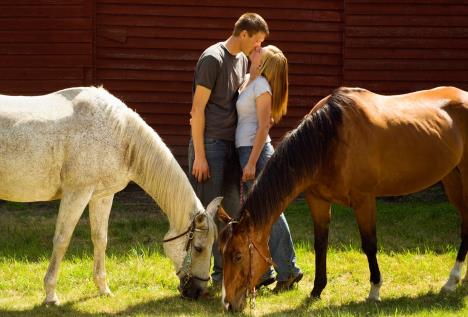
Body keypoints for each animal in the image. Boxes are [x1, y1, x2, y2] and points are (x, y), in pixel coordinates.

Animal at [0, 86, 220, 304]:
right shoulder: (76, 194)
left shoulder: (102, 197)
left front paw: (103, 288)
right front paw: (51, 295)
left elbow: (100, 239)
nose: (197, 291)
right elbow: (62, 240)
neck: (119, 134)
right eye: (199, 248)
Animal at [219, 85, 468, 310]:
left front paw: (374, 290)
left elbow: (369, 244)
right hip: (451, 179)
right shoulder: (317, 201)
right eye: (222, 254)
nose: (229, 304)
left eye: (238, 256)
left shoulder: (364, 201)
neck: (328, 139)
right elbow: (320, 245)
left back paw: (451, 281)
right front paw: (317, 290)